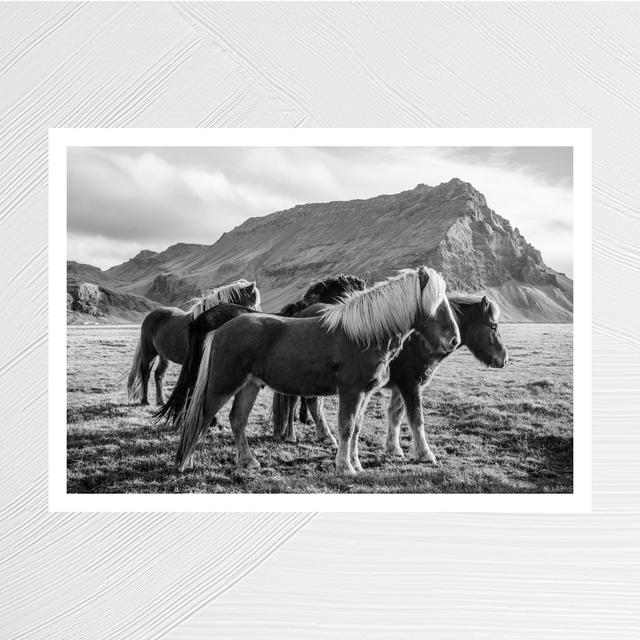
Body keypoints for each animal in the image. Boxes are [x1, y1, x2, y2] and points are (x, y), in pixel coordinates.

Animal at [126, 280, 261, 405]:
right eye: (254, 302)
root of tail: (150, 315)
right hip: (149, 353)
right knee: (145, 374)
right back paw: (145, 400)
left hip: (164, 356)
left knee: (159, 375)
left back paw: (161, 401)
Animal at [286, 295, 508, 462]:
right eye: (493, 326)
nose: (504, 359)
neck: (419, 339)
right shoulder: (411, 385)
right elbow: (416, 418)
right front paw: (425, 454)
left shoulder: (400, 386)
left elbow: (396, 415)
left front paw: (394, 449)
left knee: (313, 403)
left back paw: (324, 436)